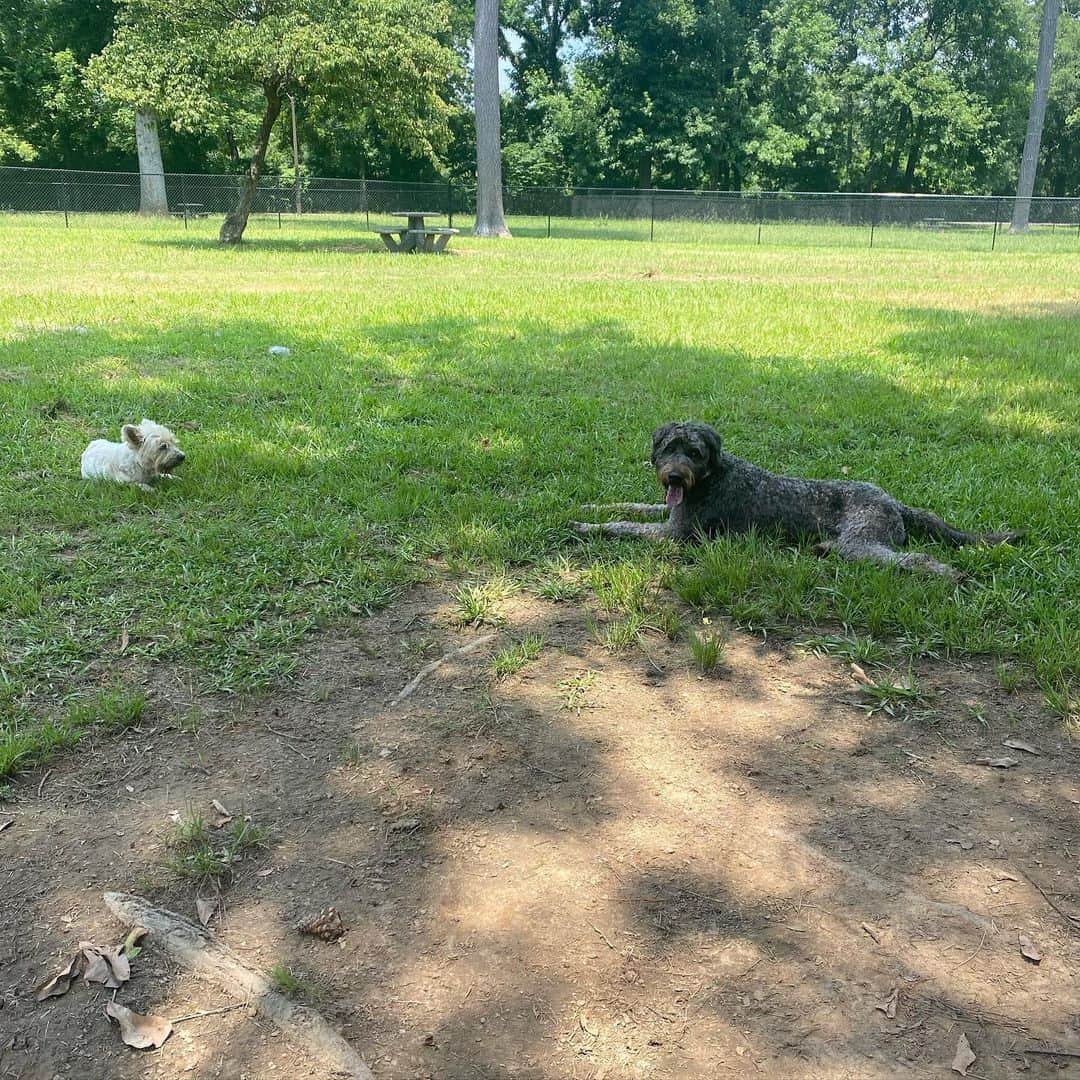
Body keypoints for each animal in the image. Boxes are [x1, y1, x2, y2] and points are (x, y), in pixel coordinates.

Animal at [570, 419, 1023, 583]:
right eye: (669, 449)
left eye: (694, 452)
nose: (675, 476)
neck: (711, 477)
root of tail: (894, 501)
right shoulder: (669, 512)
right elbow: (626, 507)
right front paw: (588, 508)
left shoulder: (674, 534)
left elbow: (625, 526)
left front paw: (584, 527)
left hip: (863, 542)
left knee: (913, 558)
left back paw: (945, 573)